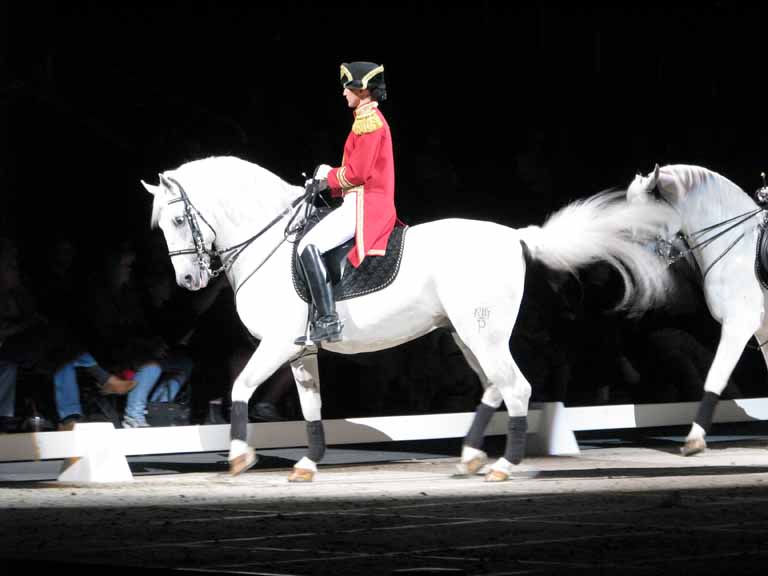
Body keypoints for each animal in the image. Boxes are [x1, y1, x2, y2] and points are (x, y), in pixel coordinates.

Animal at [142, 156, 672, 482]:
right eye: (162, 225)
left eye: (177, 220)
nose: (188, 280)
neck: (270, 245)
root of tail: (515, 236)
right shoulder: (300, 349)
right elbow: (311, 407)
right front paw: (309, 464)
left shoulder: (275, 344)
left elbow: (241, 388)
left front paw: (238, 456)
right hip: (468, 334)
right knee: (495, 386)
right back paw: (471, 457)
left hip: (483, 332)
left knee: (516, 388)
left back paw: (503, 465)